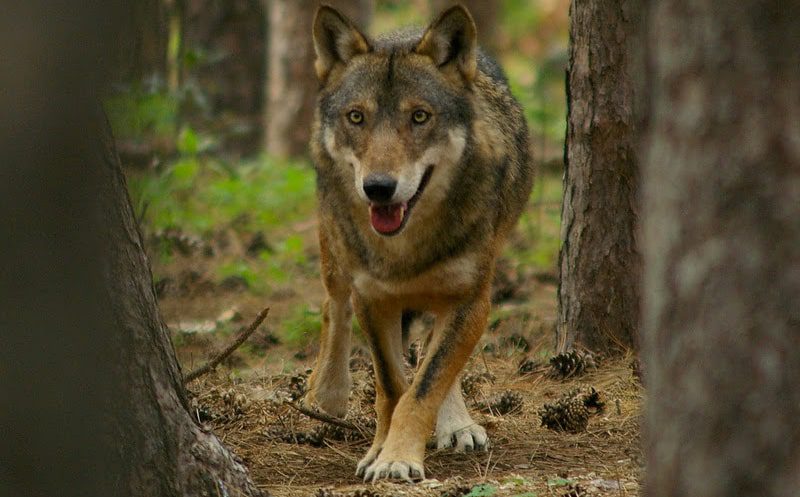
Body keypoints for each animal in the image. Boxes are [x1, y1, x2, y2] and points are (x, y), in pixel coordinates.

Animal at [303, 3, 534, 483]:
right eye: (357, 117)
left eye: (420, 117)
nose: (378, 188)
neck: (403, 250)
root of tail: (404, 31)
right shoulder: (372, 300)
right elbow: (392, 387)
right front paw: (379, 452)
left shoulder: (471, 300)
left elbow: (426, 384)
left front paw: (398, 457)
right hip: (335, 252)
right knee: (332, 306)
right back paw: (326, 395)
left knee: (436, 353)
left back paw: (458, 423)